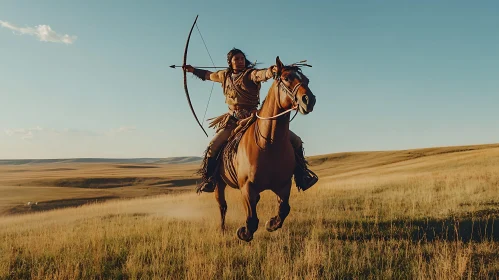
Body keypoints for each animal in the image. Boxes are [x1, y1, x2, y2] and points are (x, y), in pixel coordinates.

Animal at [214, 56, 316, 241]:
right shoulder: (247, 188)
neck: (268, 144)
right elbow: (252, 219)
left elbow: (284, 209)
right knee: (222, 206)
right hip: (219, 182)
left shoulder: (284, 184)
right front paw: (244, 232)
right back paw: (223, 229)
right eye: (287, 78)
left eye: (307, 80)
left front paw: (271, 224)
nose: (309, 100)